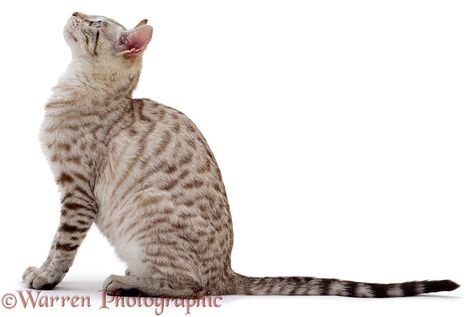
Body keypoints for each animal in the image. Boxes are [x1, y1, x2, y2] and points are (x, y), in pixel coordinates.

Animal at [23, 12, 460, 298]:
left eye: (95, 23)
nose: (74, 11)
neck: (77, 86)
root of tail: (228, 271)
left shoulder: (77, 194)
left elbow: (61, 246)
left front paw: (44, 277)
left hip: (147, 217)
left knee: (192, 286)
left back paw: (128, 282)